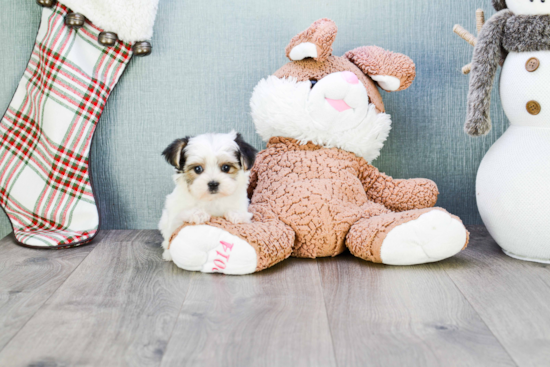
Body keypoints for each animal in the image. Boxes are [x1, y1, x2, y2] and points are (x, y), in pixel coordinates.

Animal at [157, 132, 256, 262]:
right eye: (198, 169)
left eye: (226, 168)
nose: (213, 183)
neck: (211, 199)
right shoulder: (176, 212)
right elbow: (181, 217)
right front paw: (198, 214)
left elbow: (242, 214)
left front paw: (235, 214)